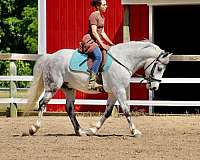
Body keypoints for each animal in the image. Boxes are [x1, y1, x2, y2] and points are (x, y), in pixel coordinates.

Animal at [25, 40, 172, 137]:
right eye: (160, 68)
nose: (154, 87)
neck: (124, 59)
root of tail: (50, 57)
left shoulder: (113, 93)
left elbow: (107, 113)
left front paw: (93, 130)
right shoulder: (119, 90)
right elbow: (126, 111)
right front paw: (135, 131)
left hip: (69, 88)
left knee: (69, 108)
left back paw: (80, 131)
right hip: (53, 86)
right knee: (42, 103)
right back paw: (34, 128)